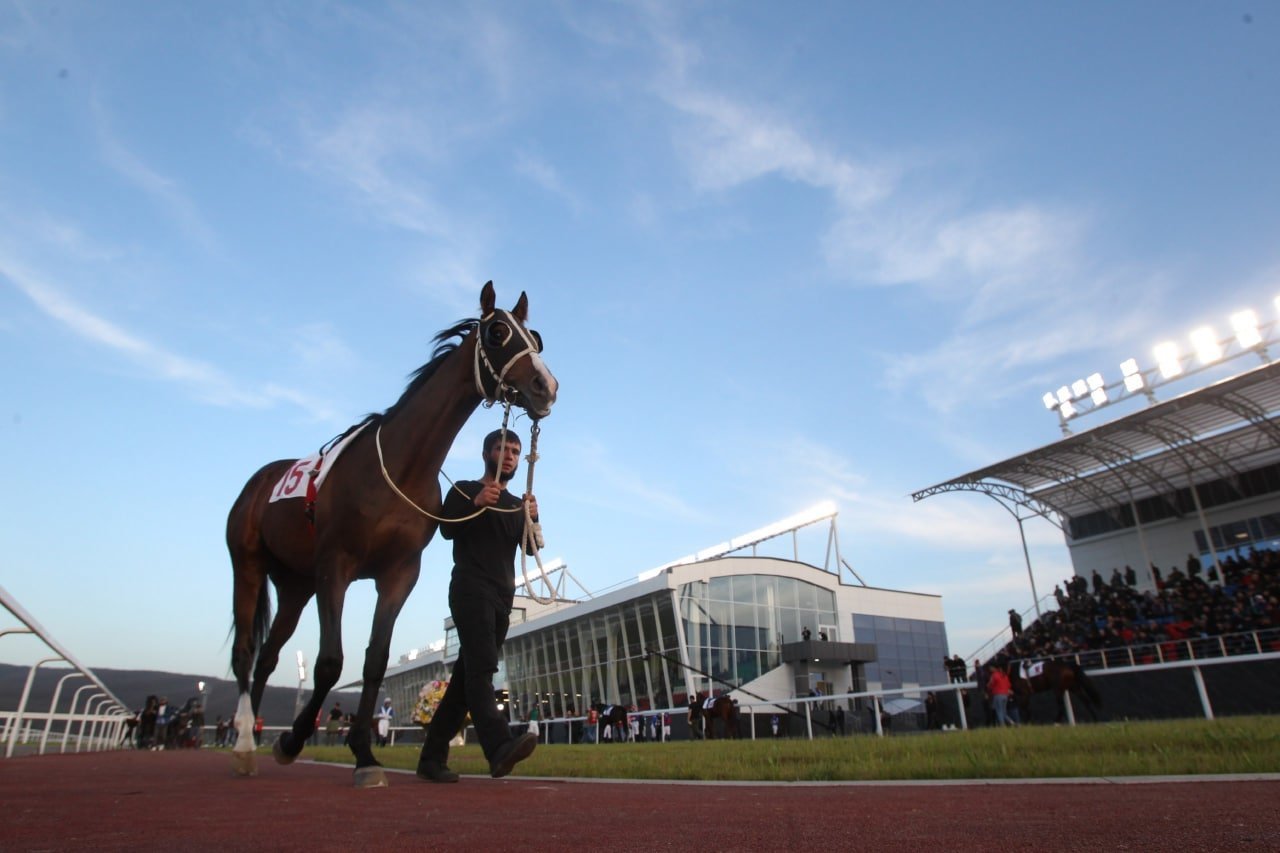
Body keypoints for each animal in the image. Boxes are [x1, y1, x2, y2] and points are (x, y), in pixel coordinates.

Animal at [227, 281, 558, 788]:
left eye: (535, 338)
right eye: (499, 332)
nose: (547, 386)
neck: (402, 466)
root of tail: (260, 480)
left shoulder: (399, 574)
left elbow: (375, 662)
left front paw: (361, 753)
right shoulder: (336, 566)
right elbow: (330, 661)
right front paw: (297, 741)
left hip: (295, 584)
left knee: (267, 655)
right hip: (247, 564)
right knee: (245, 653)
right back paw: (244, 746)